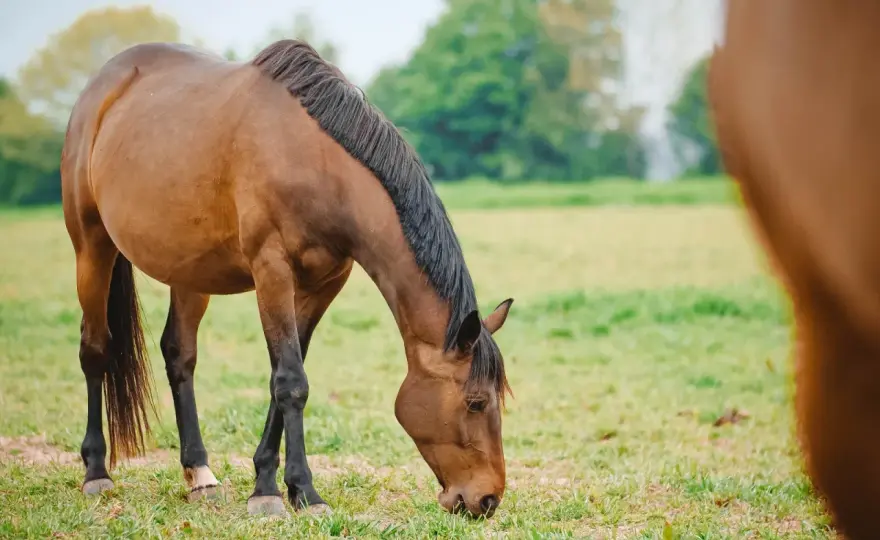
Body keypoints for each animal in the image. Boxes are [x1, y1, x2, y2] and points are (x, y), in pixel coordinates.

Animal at [61, 39, 514, 518]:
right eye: (476, 402)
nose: (486, 499)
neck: (318, 166)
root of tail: (102, 87)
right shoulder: (271, 271)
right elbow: (292, 383)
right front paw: (303, 493)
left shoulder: (322, 286)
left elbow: (286, 376)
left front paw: (270, 485)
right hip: (91, 246)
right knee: (95, 349)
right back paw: (96, 473)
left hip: (188, 271)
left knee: (179, 355)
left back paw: (200, 475)